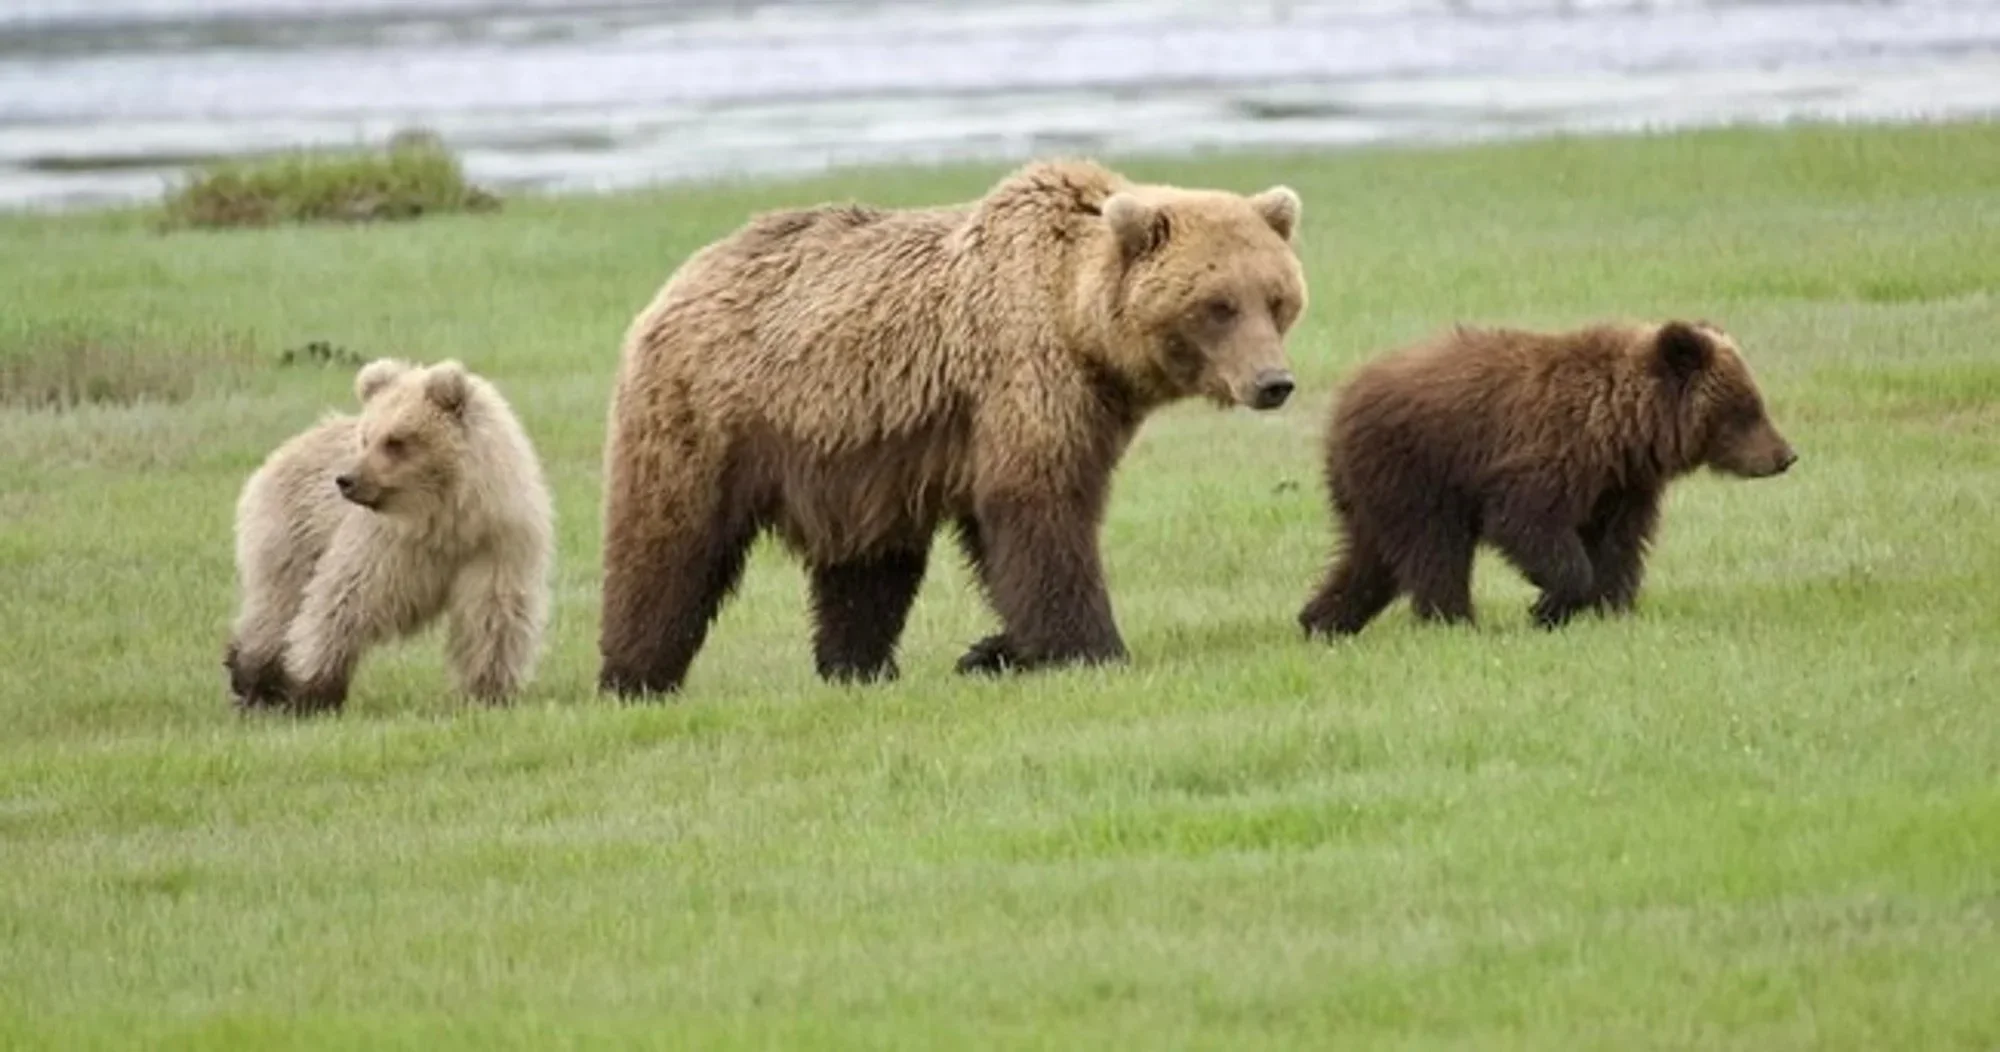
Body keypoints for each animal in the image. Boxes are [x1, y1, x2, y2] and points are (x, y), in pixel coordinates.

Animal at [224, 358, 555, 714]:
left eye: (396, 440)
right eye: (366, 437)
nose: (346, 480)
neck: (446, 520)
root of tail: (287, 447)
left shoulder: (495, 546)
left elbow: (493, 618)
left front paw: (488, 693)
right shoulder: (387, 547)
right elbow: (341, 603)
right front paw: (312, 691)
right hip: (292, 532)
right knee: (276, 605)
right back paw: (253, 680)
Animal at [597, 158, 1309, 697]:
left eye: (1277, 299)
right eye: (1218, 305)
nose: (1273, 382)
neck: (1079, 324)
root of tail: (677, 281)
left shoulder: (1076, 408)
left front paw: (996, 650)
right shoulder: (1023, 375)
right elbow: (1039, 512)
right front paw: (1092, 648)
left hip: (857, 454)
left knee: (868, 568)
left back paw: (857, 666)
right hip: (710, 413)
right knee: (669, 543)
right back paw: (634, 676)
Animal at [1296, 319, 1795, 637]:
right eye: (1748, 407)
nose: (1785, 455)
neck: (1623, 432)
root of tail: (1344, 400)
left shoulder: (1621, 488)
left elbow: (1619, 547)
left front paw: (1611, 609)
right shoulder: (1549, 457)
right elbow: (1528, 525)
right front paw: (1549, 607)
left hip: (1372, 491)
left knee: (1371, 559)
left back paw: (1321, 620)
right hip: (1415, 473)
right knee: (1435, 551)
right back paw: (1455, 621)